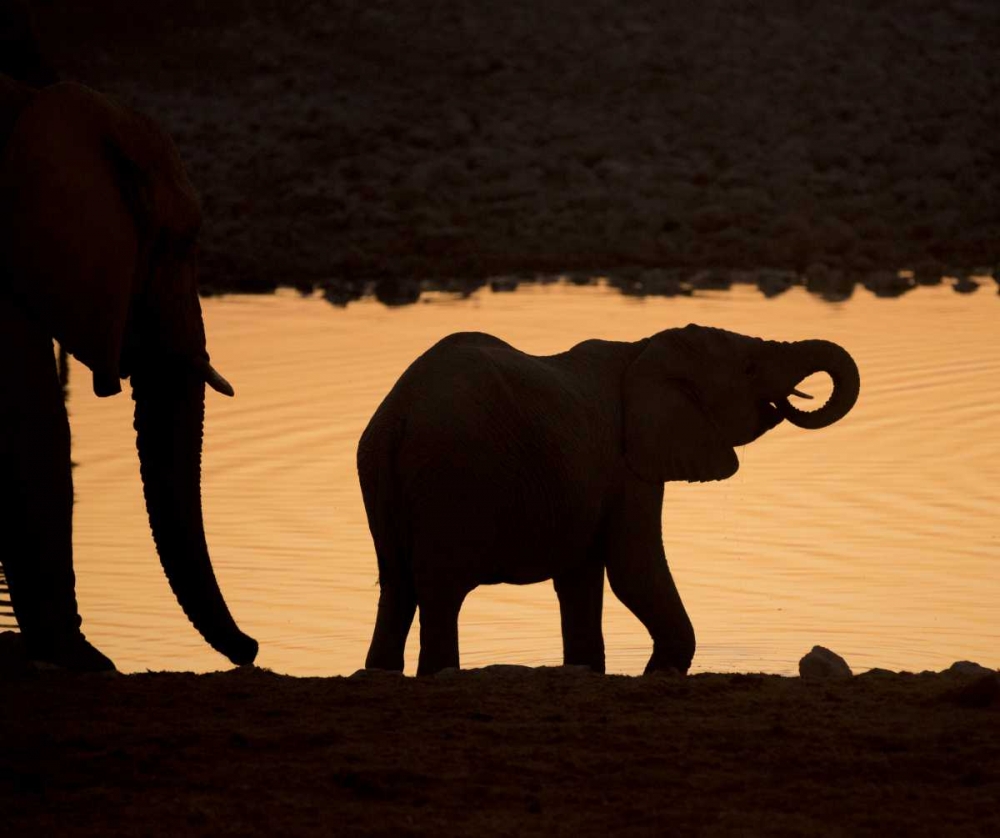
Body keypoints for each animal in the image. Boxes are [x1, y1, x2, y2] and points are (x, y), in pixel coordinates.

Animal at [358, 325, 860, 676]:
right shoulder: (627, 464)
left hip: (381, 479)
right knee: (440, 592)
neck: (644, 348)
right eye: (750, 368)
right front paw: (661, 671)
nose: (789, 403)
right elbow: (633, 569)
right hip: (450, 476)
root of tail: (399, 416)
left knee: (397, 586)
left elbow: (580, 578)